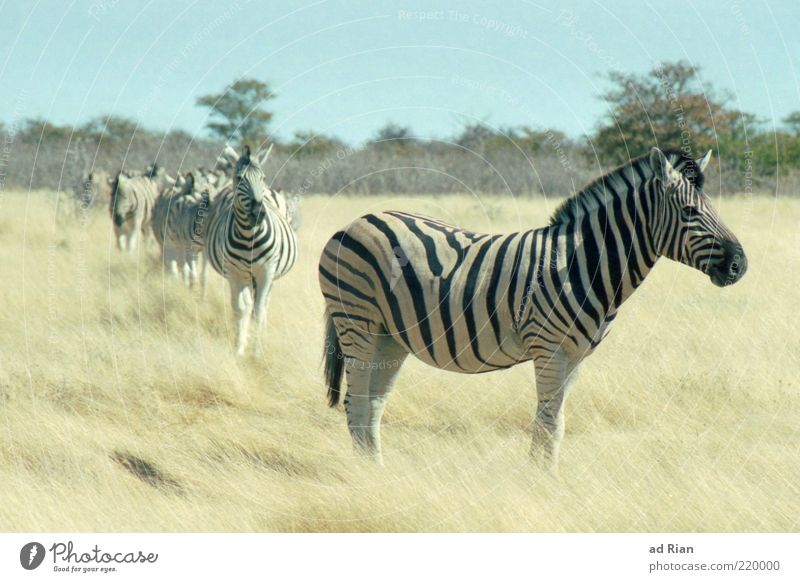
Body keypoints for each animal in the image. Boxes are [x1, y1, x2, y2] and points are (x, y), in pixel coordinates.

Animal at [203, 146, 300, 356]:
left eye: (263, 177)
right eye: (239, 178)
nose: (258, 214)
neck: (249, 237)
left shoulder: (267, 271)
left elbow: (259, 309)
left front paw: (257, 351)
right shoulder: (234, 273)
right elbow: (241, 308)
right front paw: (240, 348)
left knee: (262, 304)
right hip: (243, 276)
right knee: (240, 305)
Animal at [320, 147, 752, 470]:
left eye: (715, 209)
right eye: (690, 213)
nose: (739, 265)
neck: (582, 262)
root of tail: (355, 221)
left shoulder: (576, 357)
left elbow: (554, 422)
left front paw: (546, 478)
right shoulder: (549, 349)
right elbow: (548, 423)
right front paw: (542, 481)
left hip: (389, 336)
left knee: (372, 405)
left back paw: (378, 472)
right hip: (357, 321)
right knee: (356, 402)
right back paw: (366, 478)